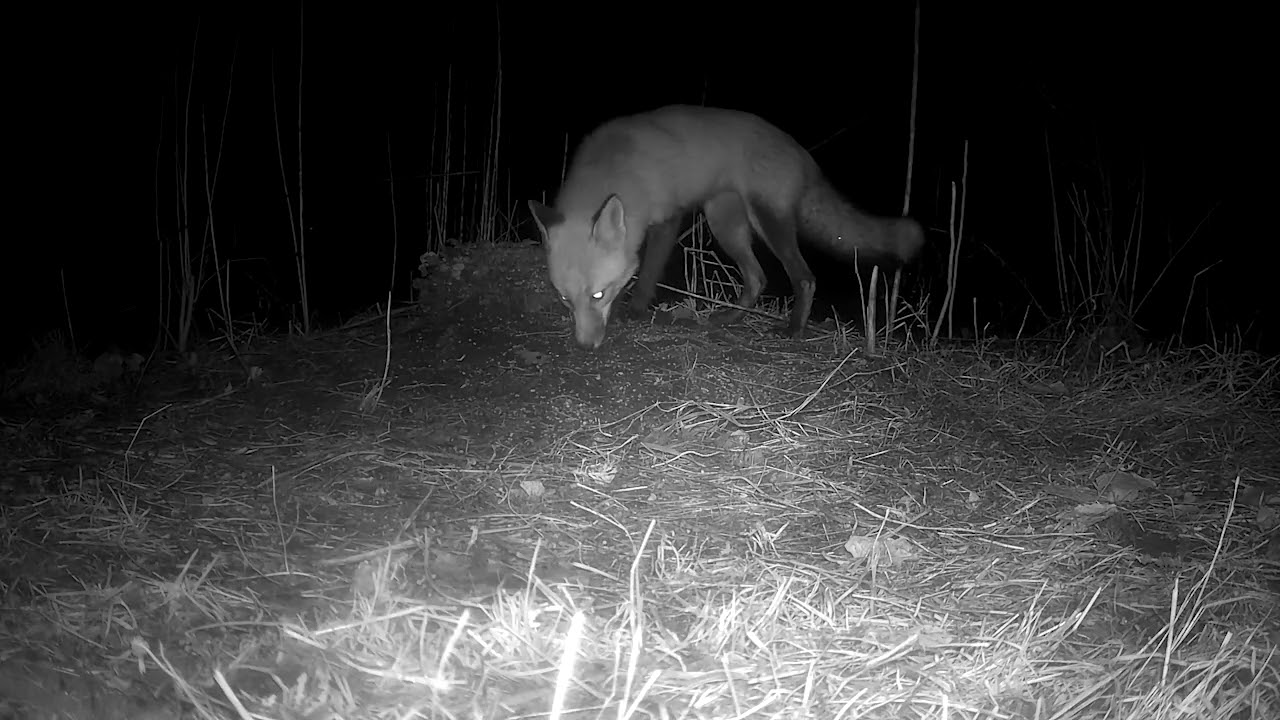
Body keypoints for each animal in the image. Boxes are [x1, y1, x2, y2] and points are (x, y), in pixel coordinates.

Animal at [528, 104, 925, 349]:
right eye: (565, 299)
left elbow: (649, 271)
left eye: (599, 295)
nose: (585, 346)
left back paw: (793, 329)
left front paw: (637, 308)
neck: (618, 166)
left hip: (768, 221)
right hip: (725, 223)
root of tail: (799, 150)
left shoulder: (668, 217)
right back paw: (730, 318)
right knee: (757, 278)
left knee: (804, 277)